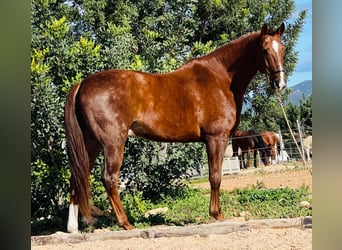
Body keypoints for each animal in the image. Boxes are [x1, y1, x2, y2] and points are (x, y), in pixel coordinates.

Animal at [63, 23, 286, 232]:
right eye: (264, 50)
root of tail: (82, 84)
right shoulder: (216, 138)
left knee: (77, 177)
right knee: (109, 179)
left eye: (282, 48)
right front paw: (217, 214)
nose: (280, 83)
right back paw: (125, 223)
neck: (220, 77)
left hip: (91, 144)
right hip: (113, 143)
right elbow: (215, 176)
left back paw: (73, 227)